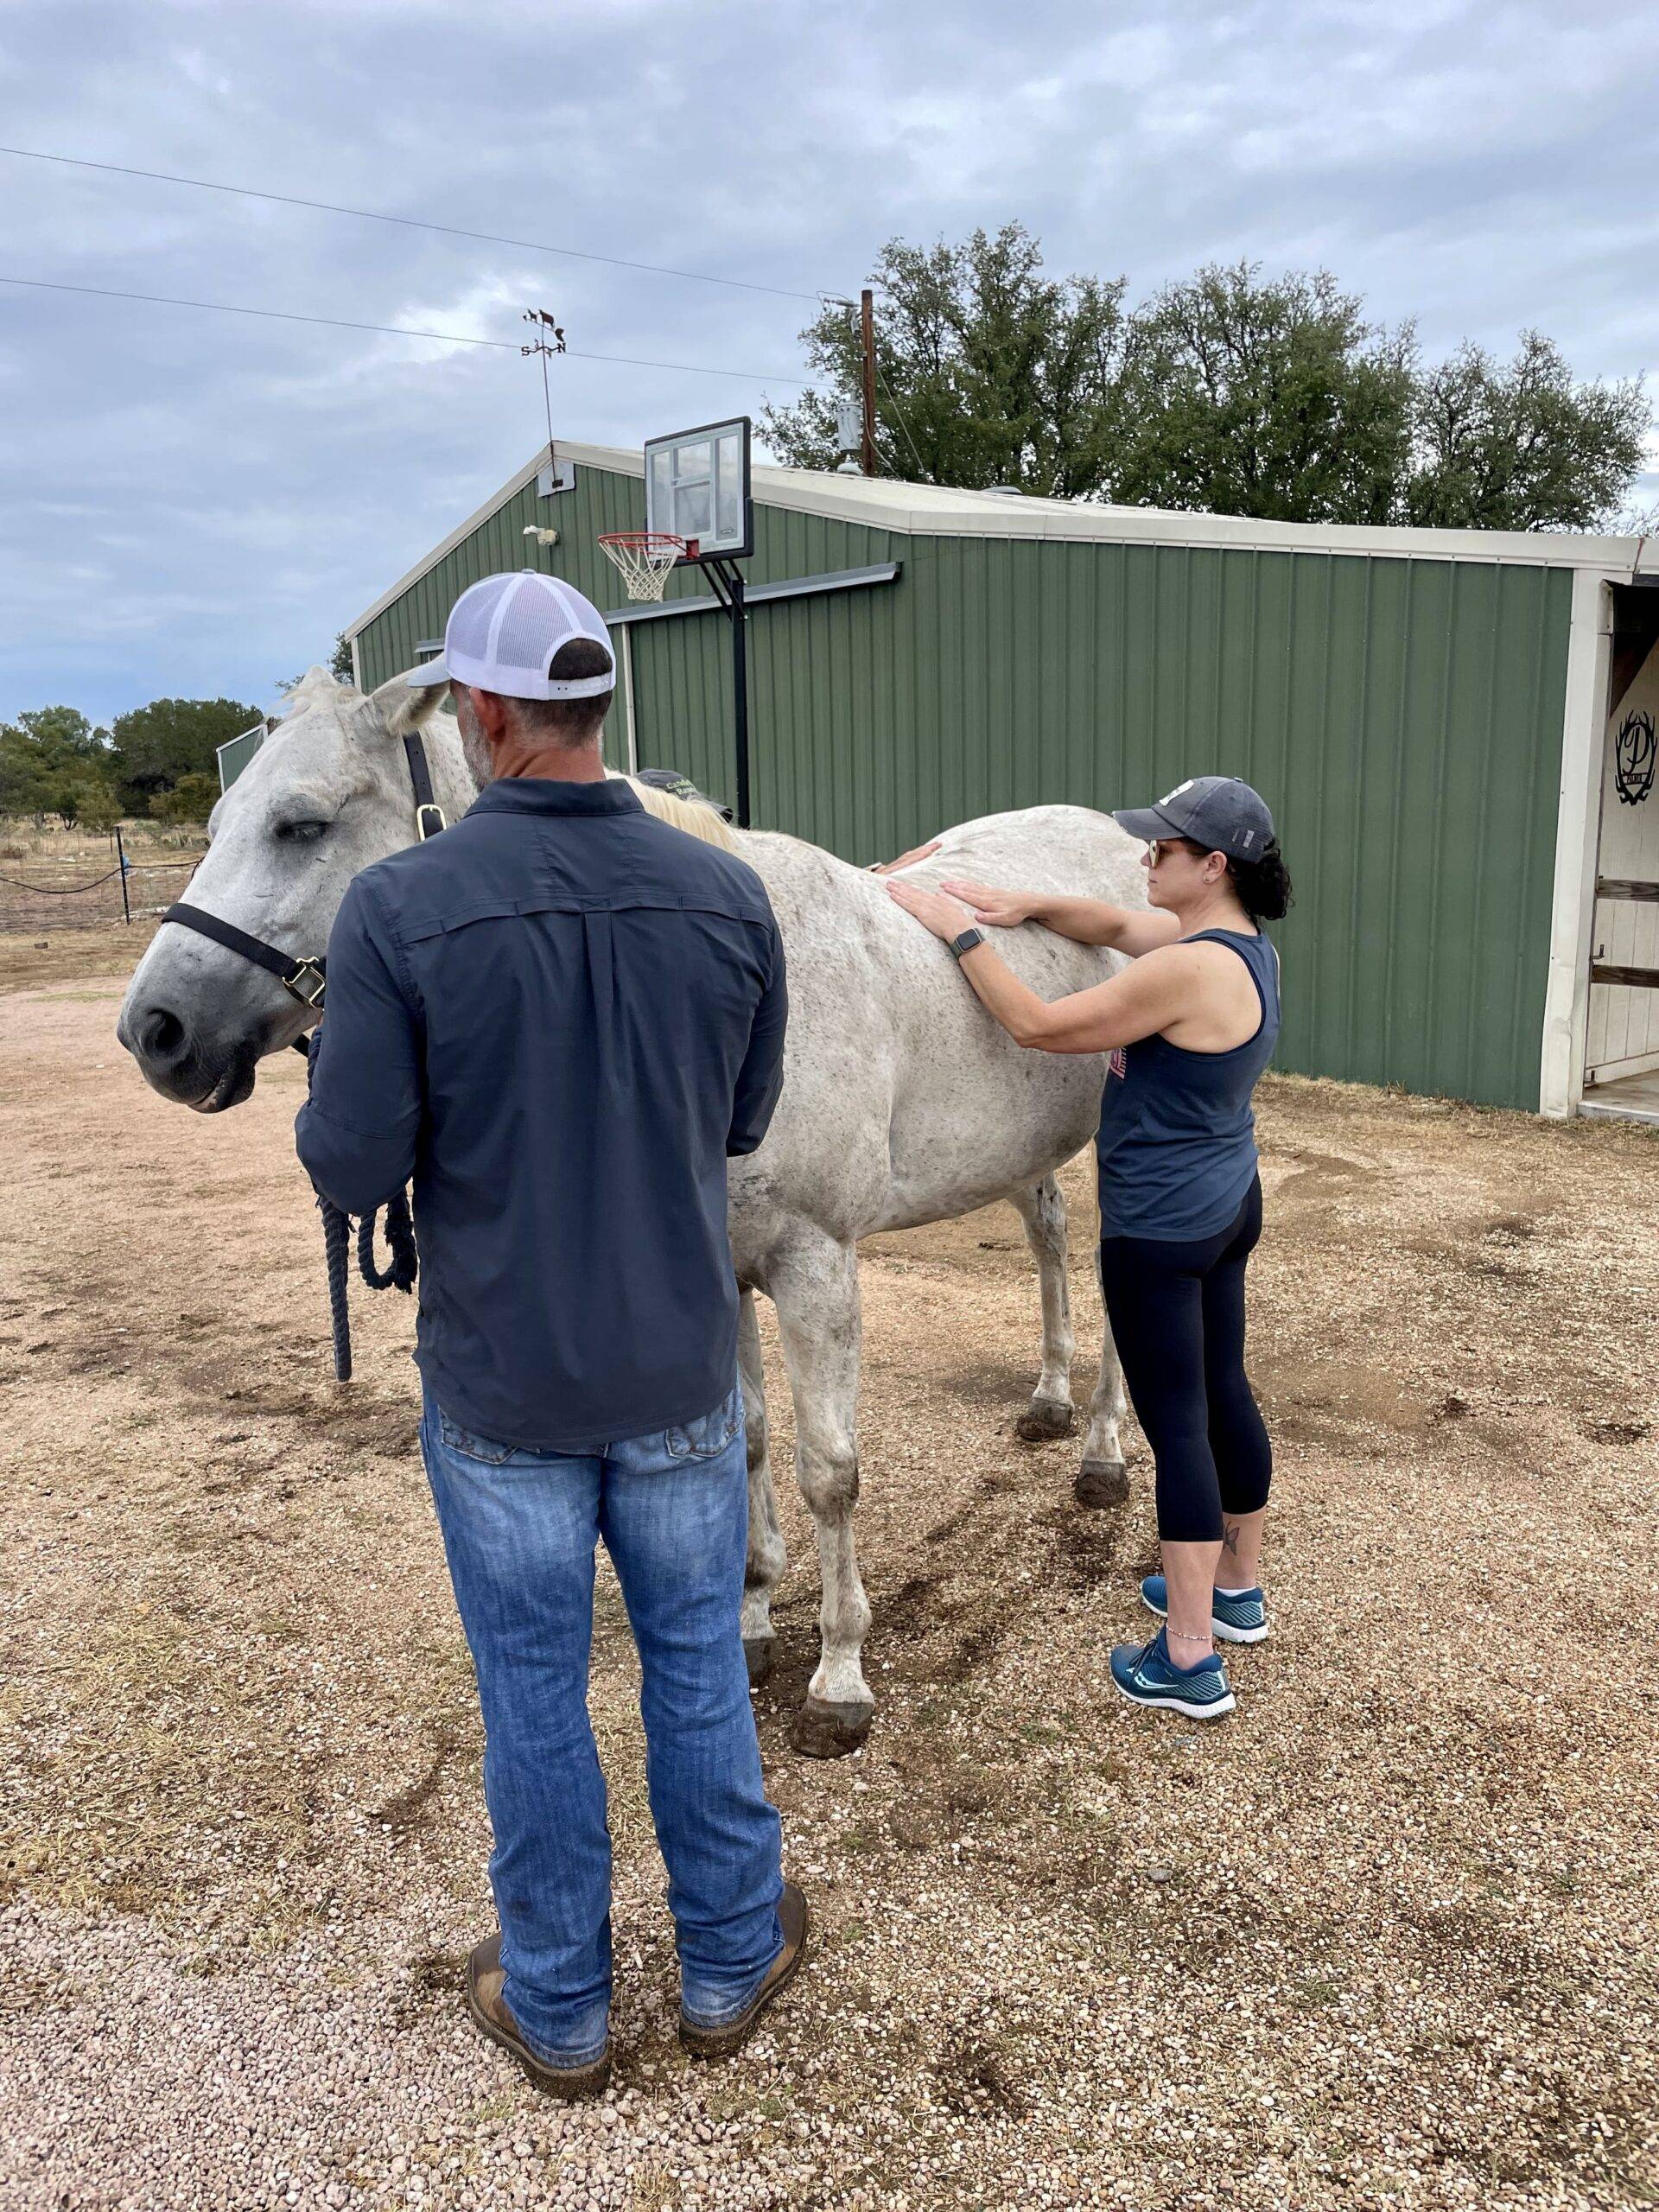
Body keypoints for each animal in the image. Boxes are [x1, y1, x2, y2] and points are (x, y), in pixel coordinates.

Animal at [118, 666, 1142, 1756]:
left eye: (300, 824)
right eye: (217, 821)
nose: (155, 1030)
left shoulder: (815, 1265)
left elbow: (830, 1471)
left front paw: (839, 1678)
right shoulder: (726, 1269)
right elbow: (749, 1445)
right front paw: (750, 1622)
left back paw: (1103, 1454)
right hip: (1027, 1154)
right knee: (1048, 1237)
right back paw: (1048, 1402)